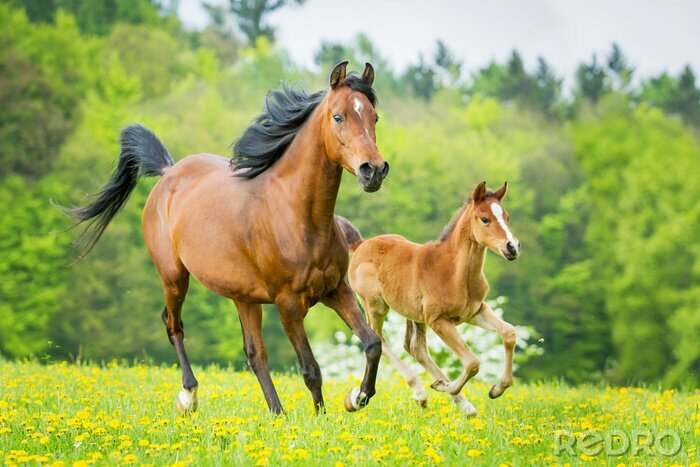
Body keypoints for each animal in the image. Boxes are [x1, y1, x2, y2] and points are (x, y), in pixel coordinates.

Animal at [60, 61, 388, 414]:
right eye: (338, 117)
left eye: (374, 117)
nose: (373, 170)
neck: (298, 216)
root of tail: (168, 172)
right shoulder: (288, 303)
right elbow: (311, 369)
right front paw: (321, 418)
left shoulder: (335, 289)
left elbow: (372, 343)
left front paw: (357, 397)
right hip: (174, 277)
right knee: (173, 325)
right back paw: (189, 396)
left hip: (243, 296)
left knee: (254, 353)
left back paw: (277, 413)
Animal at [344, 182, 520, 416]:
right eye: (485, 219)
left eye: (507, 217)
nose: (512, 247)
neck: (454, 272)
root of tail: (360, 245)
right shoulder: (438, 320)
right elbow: (472, 362)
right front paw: (447, 386)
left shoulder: (475, 311)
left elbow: (509, 333)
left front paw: (496, 389)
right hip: (375, 306)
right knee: (380, 340)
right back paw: (421, 391)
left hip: (414, 314)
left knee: (414, 348)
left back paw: (463, 405)